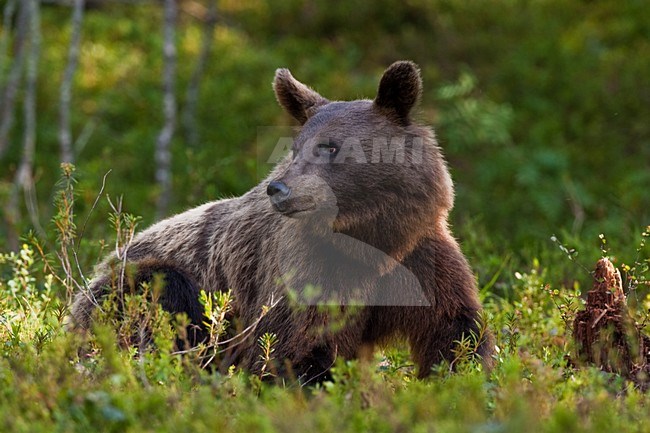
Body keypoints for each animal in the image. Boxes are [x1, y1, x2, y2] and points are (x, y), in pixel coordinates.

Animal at [71, 61, 494, 382]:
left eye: (330, 146)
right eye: (296, 147)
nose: (279, 189)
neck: (371, 239)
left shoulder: (419, 258)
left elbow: (455, 331)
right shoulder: (305, 269)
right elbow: (295, 345)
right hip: (131, 287)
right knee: (164, 298)